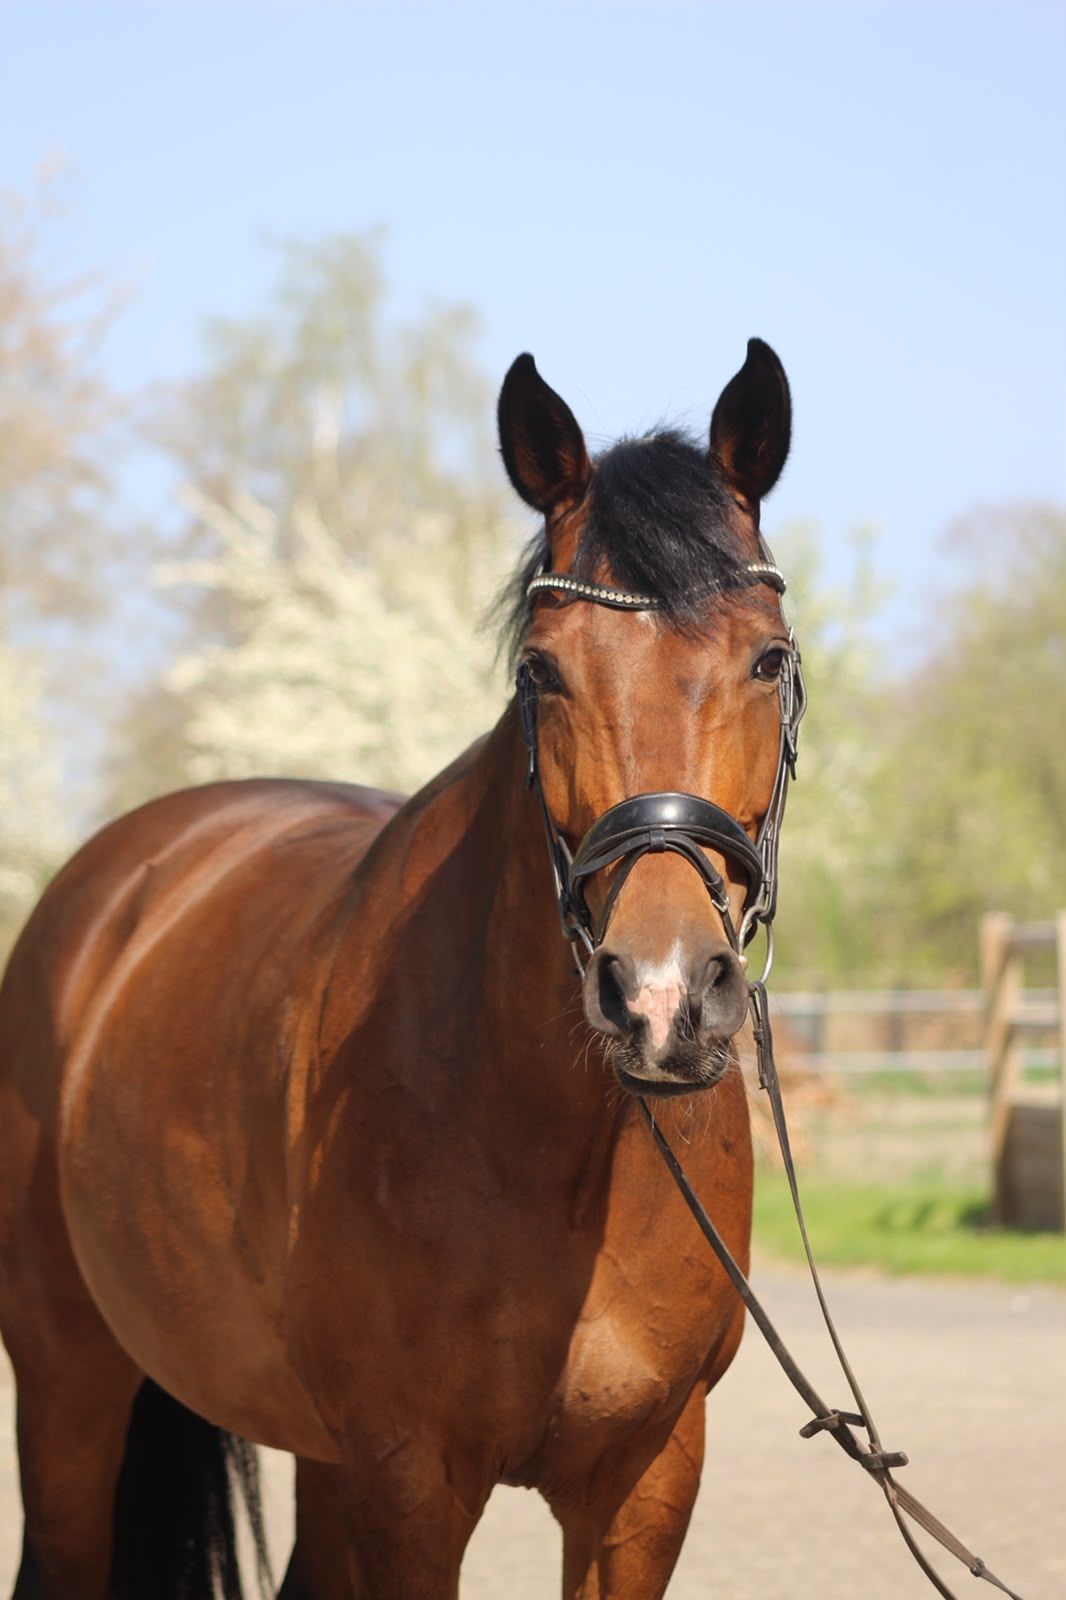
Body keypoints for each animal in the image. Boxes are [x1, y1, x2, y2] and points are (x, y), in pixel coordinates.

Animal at [0, 336, 798, 1599]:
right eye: (542, 671)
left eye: (767, 658)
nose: (661, 996)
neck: (553, 1143)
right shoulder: (412, 1479)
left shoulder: (646, 1476)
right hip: (69, 1382)